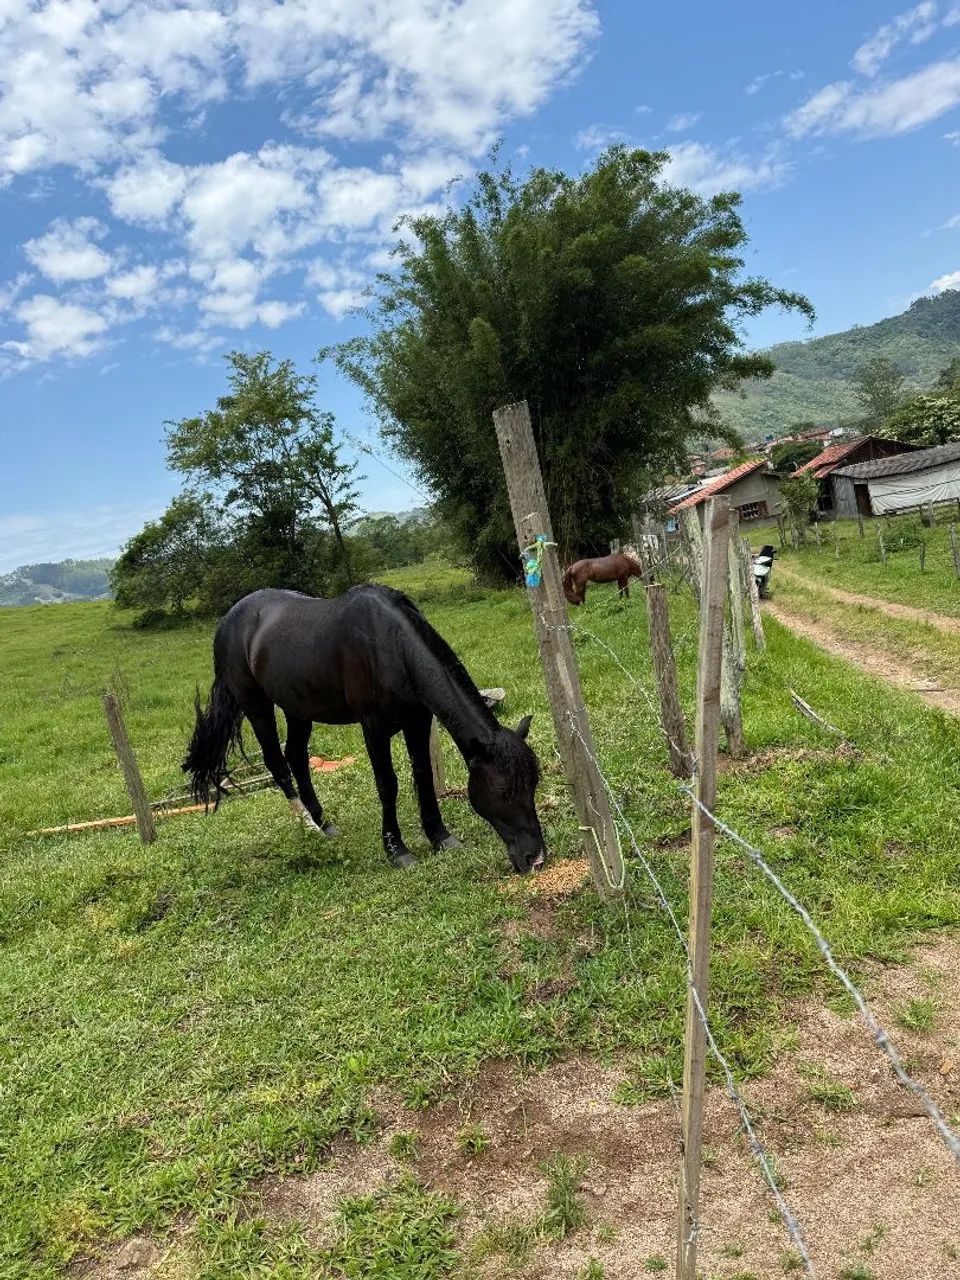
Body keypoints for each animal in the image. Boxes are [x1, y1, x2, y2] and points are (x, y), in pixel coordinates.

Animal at [183, 585, 546, 874]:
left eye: (532, 786)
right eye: (502, 792)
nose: (536, 858)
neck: (391, 645)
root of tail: (229, 621)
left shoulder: (417, 720)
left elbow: (424, 775)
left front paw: (440, 837)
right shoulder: (373, 727)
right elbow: (388, 785)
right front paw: (397, 850)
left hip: (298, 708)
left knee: (297, 757)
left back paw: (324, 822)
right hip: (256, 705)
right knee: (278, 763)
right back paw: (309, 827)